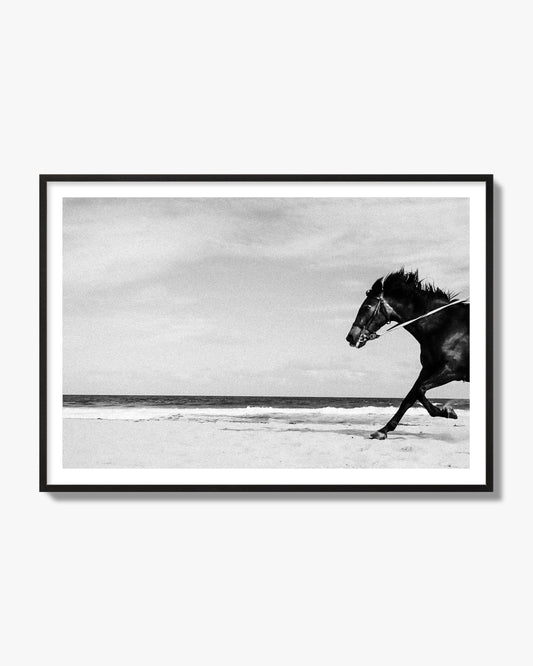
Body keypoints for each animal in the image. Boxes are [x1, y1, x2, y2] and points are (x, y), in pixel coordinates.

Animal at [345, 269, 469, 439]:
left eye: (367, 307)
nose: (351, 337)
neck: (445, 326)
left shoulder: (452, 370)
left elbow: (420, 390)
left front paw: (447, 411)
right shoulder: (428, 369)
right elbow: (410, 397)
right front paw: (383, 430)